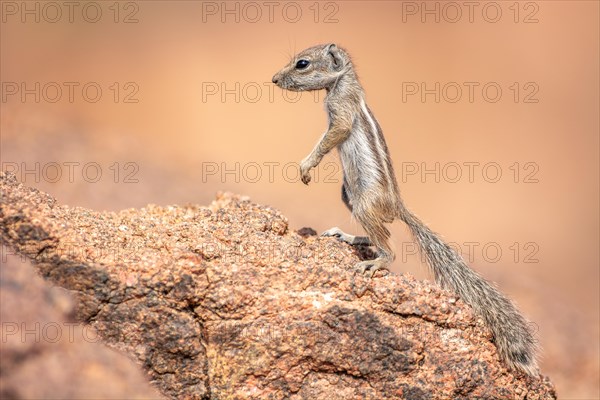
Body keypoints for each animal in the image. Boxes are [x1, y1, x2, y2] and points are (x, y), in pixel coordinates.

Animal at [272, 43, 540, 376]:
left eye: (302, 64)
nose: (274, 79)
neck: (342, 82)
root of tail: (398, 206)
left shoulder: (341, 113)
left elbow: (330, 137)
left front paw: (306, 165)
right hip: (349, 194)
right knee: (379, 233)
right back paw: (349, 237)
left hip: (364, 203)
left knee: (389, 246)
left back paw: (374, 262)